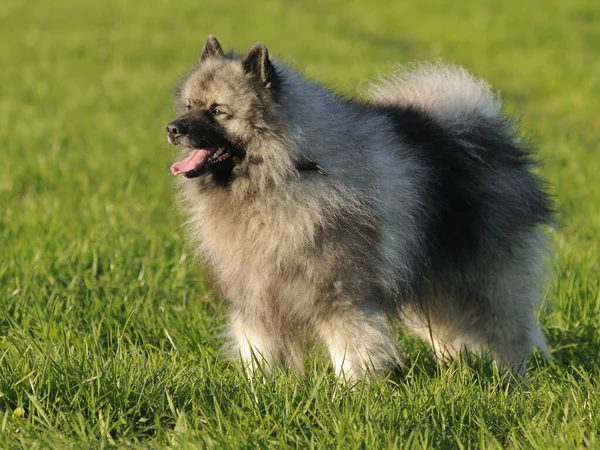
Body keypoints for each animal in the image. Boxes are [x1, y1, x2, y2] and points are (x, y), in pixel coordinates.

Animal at [165, 35, 552, 382]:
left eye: (217, 111)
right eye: (188, 106)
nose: (172, 128)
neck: (286, 172)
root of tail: (484, 131)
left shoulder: (342, 298)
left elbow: (353, 355)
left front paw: (351, 396)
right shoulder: (255, 296)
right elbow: (259, 354)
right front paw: (260, 391)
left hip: (486, 282)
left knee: (510, 336)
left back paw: (513, 385)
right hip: (436, 280)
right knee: (448, 336)